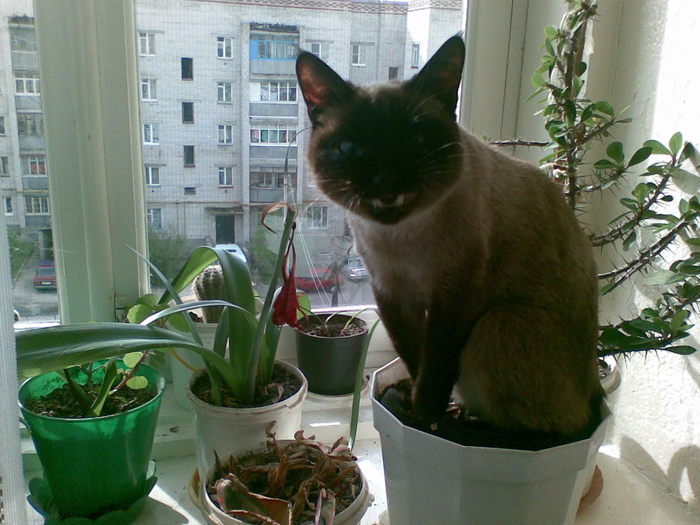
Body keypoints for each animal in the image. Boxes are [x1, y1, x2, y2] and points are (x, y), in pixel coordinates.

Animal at [296, 34, 600, 440]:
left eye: (416, 140)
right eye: (349, 149)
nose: (385, 183)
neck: (399, 239)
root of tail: (594, 399)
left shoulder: (455, 297)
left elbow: (437, 365)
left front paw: (424, 417)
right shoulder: (392, 292)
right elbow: (414, 356)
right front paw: (418, 405)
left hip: (498, 323)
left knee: (538, 429)